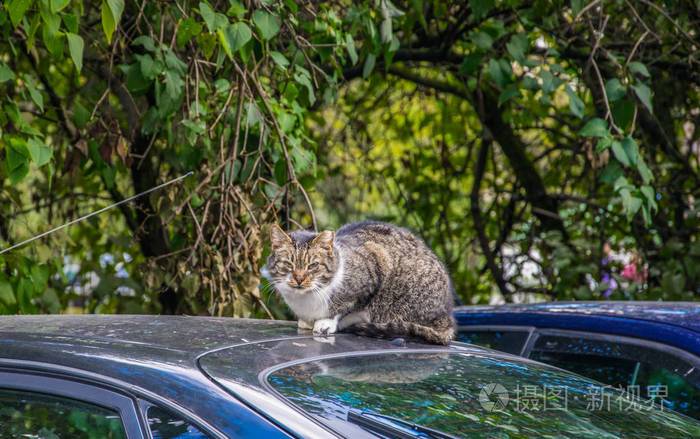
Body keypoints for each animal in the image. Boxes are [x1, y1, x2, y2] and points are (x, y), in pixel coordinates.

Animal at [262, 222, 454, 346]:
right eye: (289, 264)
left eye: (313, 266)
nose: (299, 279)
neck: (305, 300)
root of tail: (446, 315)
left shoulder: (374, 265)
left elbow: (345, 306)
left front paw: (327, 322)